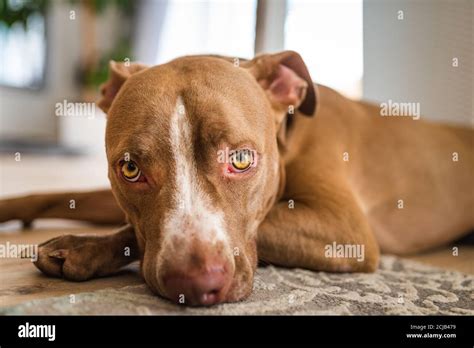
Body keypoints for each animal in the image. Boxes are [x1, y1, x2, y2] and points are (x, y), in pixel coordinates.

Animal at [0, 50, 474, 306]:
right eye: (131, 168)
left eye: (242, 160)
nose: (195, 283)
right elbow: (63, 194)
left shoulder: (343, 226)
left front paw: (83, 248)